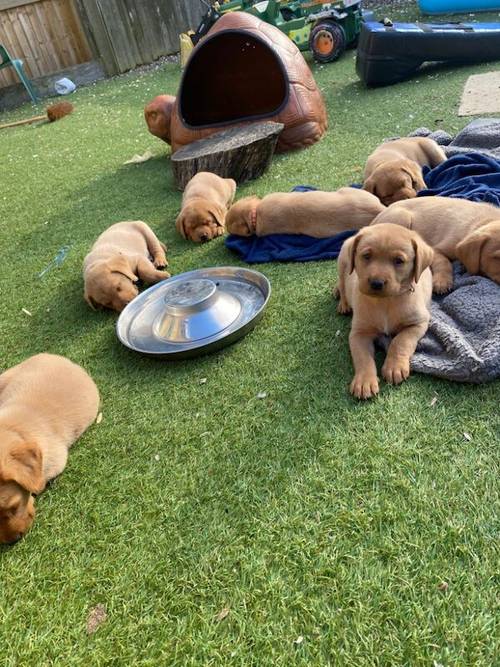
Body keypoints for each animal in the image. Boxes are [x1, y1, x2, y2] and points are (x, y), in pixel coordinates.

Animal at [336, 224, 434, 402]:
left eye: (399, 261)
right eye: (366, 256)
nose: (376, 283)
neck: (385, 302)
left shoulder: (418, 323)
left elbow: (401, 341)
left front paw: (394, 367)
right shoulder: (359, 333)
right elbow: (363, 357)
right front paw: (364, 382)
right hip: (342, 261)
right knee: (341, 283)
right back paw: (343, 302)